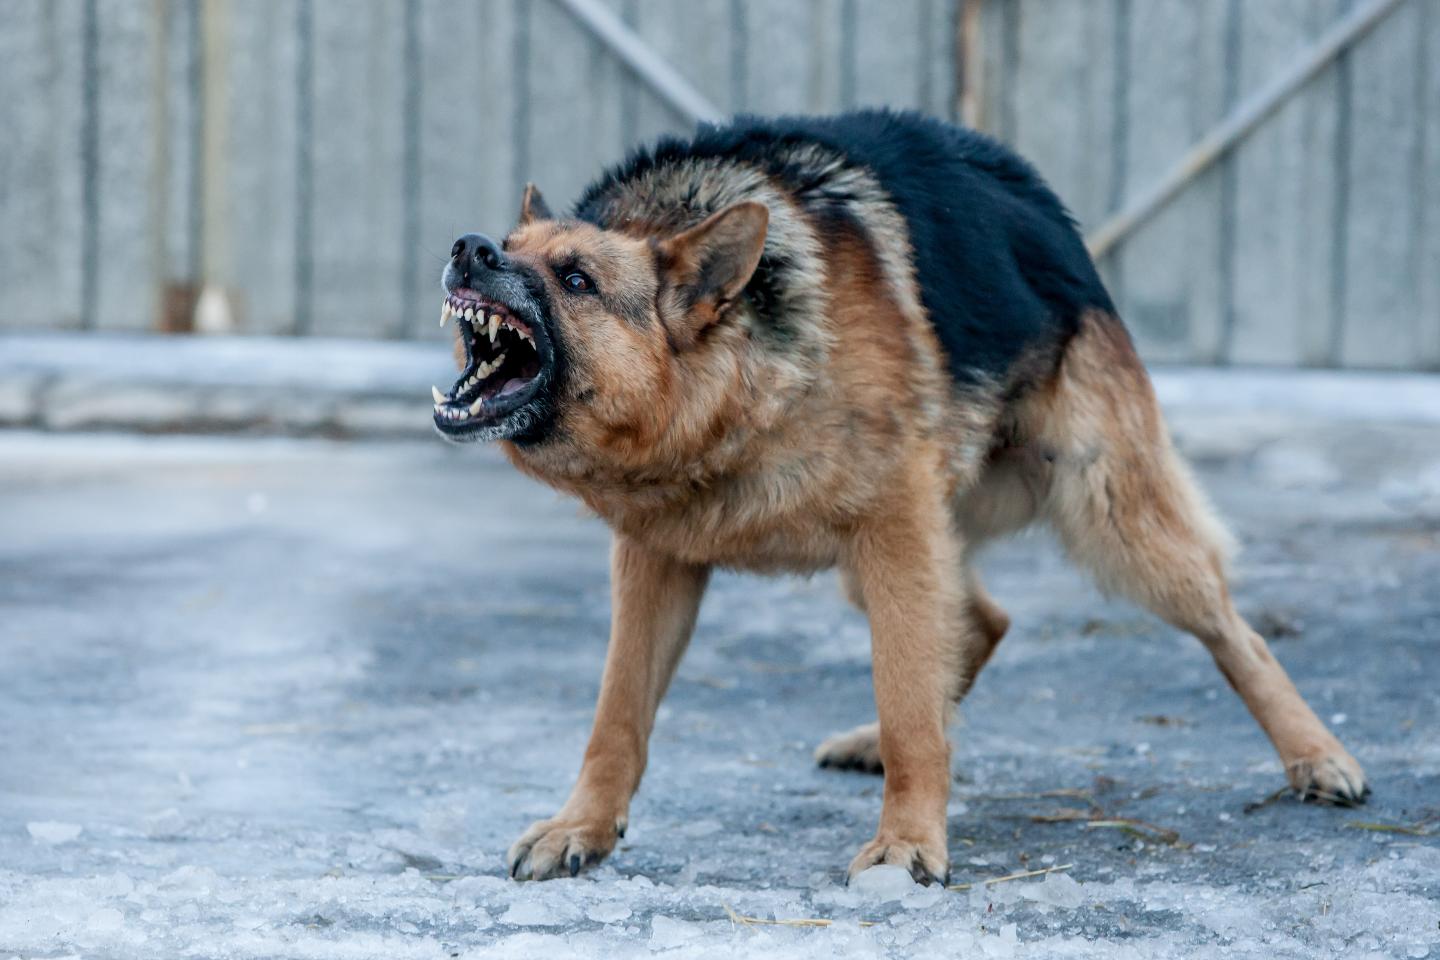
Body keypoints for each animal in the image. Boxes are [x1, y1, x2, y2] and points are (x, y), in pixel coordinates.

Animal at [432, 110, 1365, 886]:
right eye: (510, 242)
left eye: (576, 279)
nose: (469, 247)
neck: (734, 392)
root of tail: (1030, 196)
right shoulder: (656, 559)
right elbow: (617, 714)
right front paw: (582, 828)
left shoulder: (895, 529)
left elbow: (908, 697)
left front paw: (908, 842)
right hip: (888, 558)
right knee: (984, 620)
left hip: (1114, 529)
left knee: (1232, 628)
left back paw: (1317, 755)